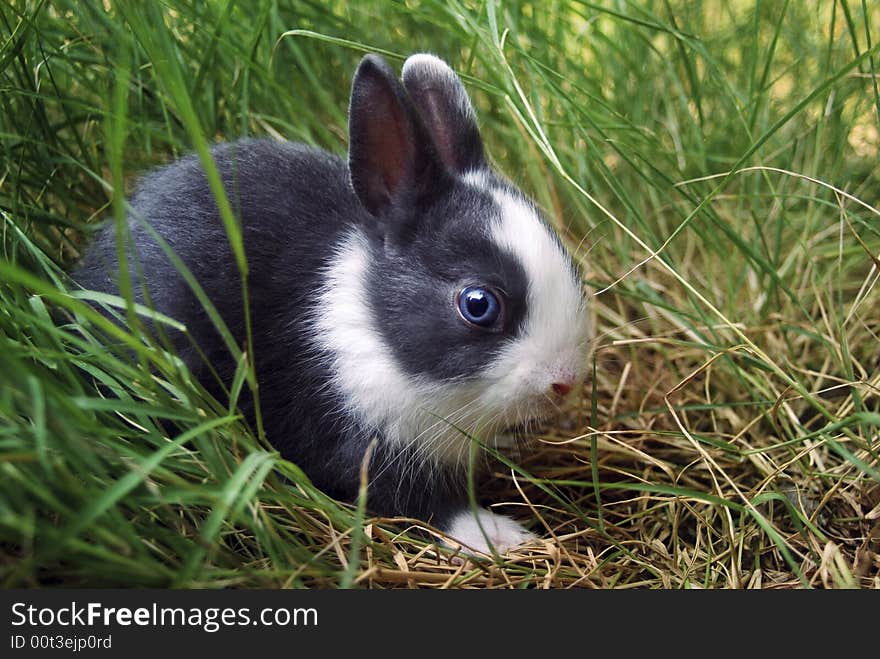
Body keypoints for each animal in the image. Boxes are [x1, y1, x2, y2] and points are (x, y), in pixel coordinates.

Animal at [72, 52, 588, 556]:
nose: (565, 381)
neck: (375, 333)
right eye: (478, 304)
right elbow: (422, 503)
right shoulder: (354, 440)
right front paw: (501, 536)